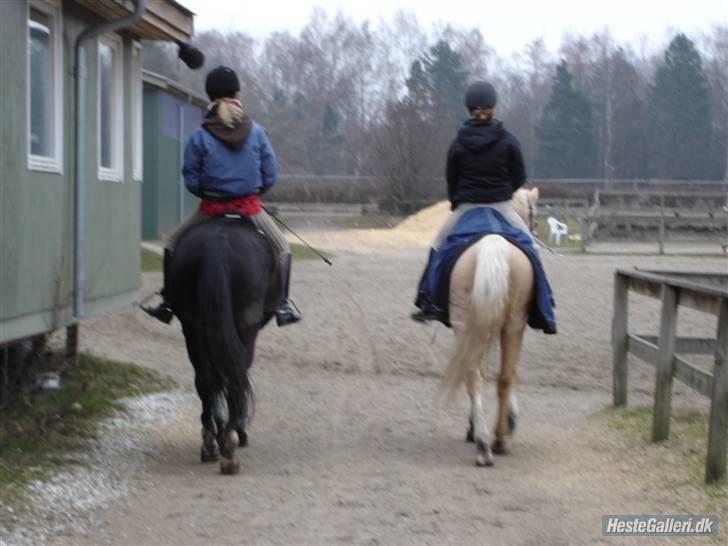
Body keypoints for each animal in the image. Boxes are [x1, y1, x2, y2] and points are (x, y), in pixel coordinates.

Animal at [168, 212, 282, 472]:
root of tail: (218, 244)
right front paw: (236, 431)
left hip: (192, 327)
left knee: (206, 379)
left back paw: (211, 442)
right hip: (244, 327)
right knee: (235, 376)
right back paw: (230, 442)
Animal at [440, 186, 536, 464]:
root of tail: (492, 242)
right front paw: (511, 419)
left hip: (471, 323)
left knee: (478, 375)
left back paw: (486, 441)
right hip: (507, 322)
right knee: (489, 376)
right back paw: (493, 439)